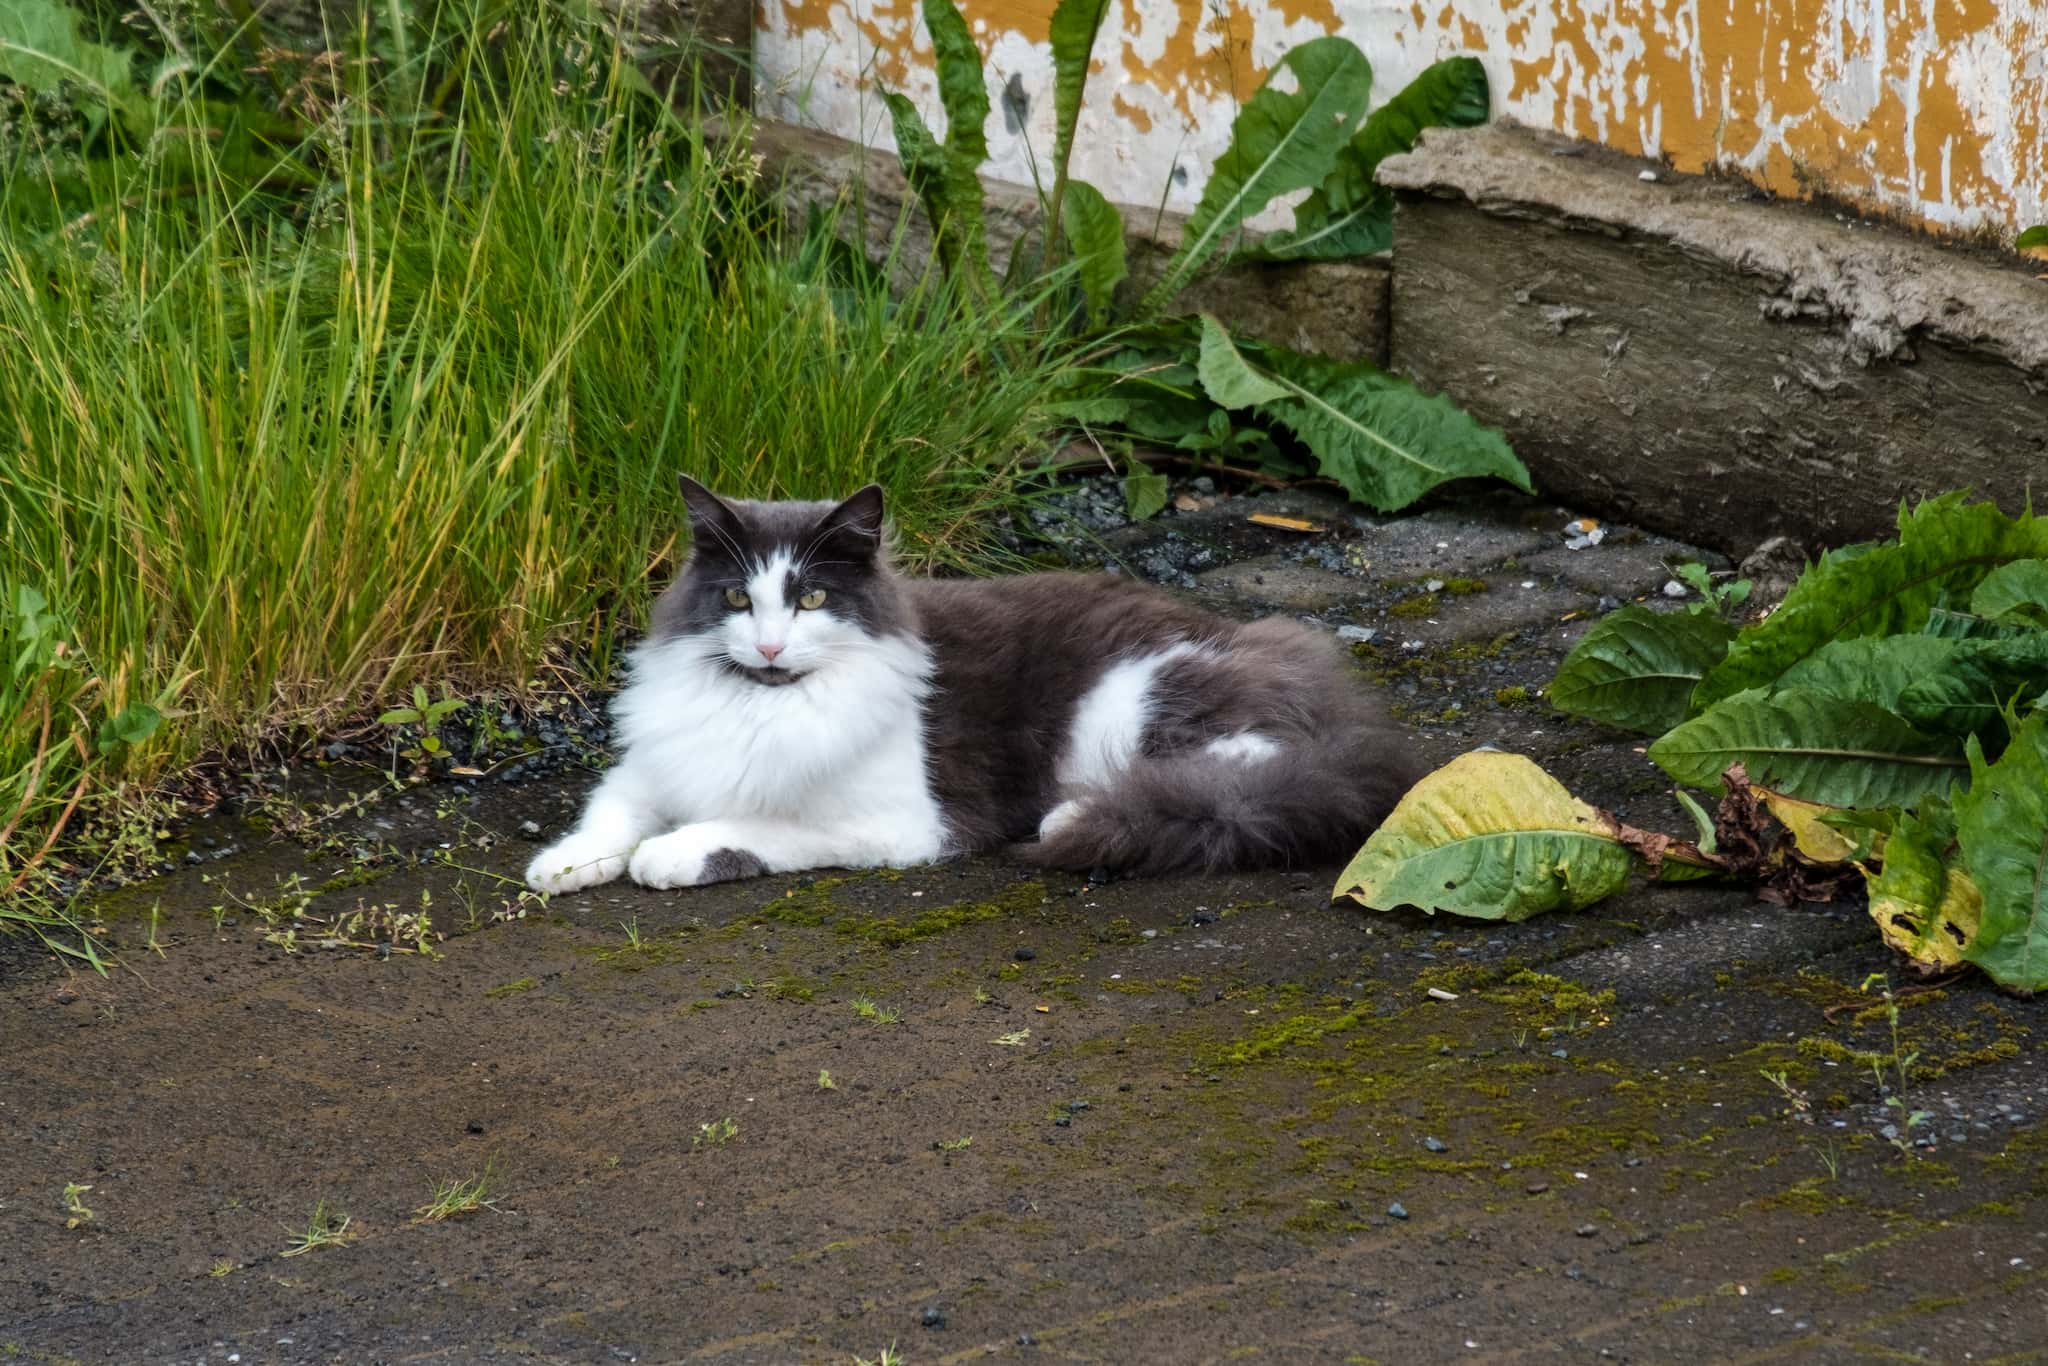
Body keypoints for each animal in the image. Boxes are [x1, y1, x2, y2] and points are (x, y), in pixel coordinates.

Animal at [524, 475, 1425, 892]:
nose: (772, 647)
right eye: (739, 600)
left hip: (1129, 702)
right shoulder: (654, 763)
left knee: (1232, 775)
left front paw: (671, 853)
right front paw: (563, 865)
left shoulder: (902, 823)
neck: (767, 701)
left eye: (812, 599)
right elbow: (609, 812)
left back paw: (1079, 814)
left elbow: (761, 825)